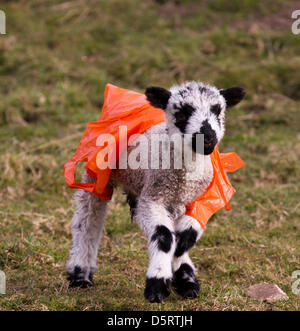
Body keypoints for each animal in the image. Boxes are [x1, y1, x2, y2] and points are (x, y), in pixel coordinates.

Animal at [66, 81, 246, 304]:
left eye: (218, 111)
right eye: (181, 113)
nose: (207, 138)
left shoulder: (200, 198)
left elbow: (186, 234)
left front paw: (185, 278)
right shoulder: (152, 199)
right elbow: (164, 236)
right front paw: (157, 285)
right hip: (97, 175)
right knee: (88, 219)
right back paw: (80, 274)